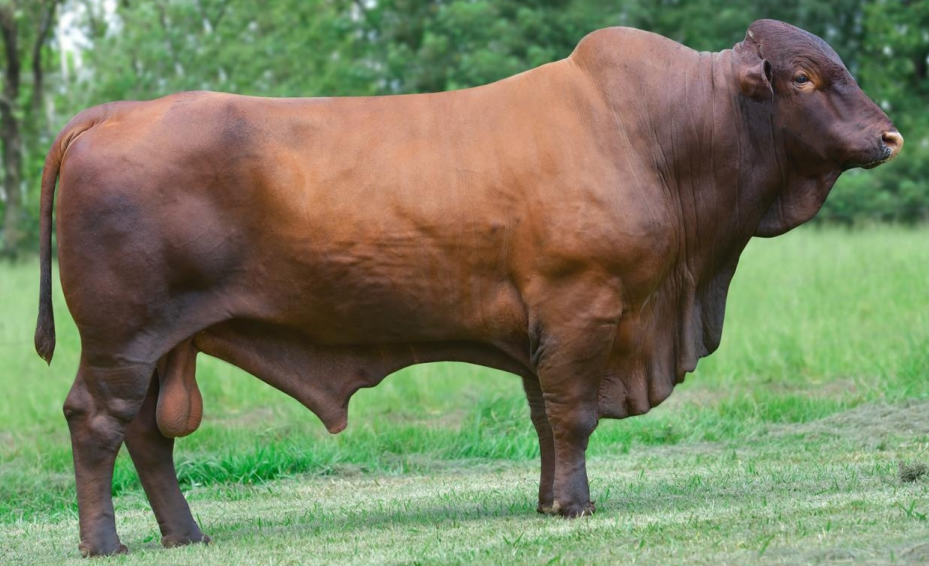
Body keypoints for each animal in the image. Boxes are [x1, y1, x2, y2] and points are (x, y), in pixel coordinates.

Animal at [36, 20, 900, 556]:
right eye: (803, 76)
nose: (889, 135)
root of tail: (114, 113)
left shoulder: (540, 332)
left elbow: (546, 419)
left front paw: (550, 501)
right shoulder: (583, 307)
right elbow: (574, 415)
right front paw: (577, 504)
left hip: (161, 341)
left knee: (149, 435)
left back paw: (186, 534)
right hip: (121, 336)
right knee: (97, 421)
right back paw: (104, 541)